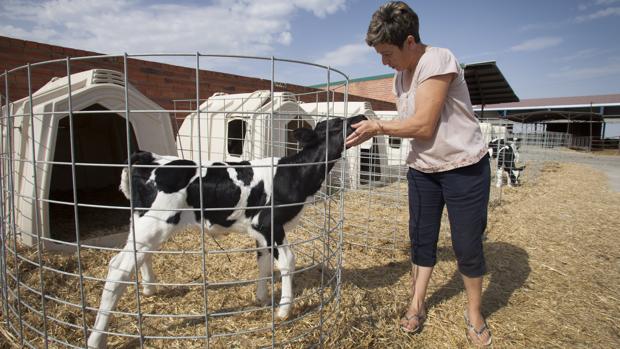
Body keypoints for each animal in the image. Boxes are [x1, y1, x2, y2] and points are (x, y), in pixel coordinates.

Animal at [87, 115, 368, 348]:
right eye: (337, 123)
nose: (361, 117)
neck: (293, 174)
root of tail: (148, 157)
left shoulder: (259, 230)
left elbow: (263, 262)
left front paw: (261, 298)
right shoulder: (270, 224)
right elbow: (287, 262)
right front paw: (284, 310)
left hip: (146, 224)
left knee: (139, 258)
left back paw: (148, 289)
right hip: (153, 223)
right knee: (118, 268)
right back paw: (96, 338)